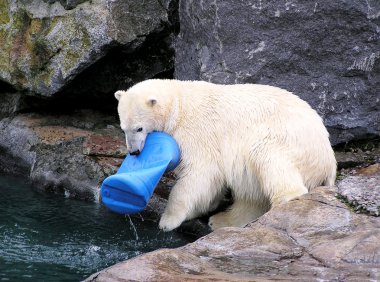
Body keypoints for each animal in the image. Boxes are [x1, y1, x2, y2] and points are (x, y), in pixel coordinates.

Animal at [115, 79, 336, 231]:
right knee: (252, 194)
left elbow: (199, 173)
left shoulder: (198, 133)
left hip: (287, 138)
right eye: (123, 128)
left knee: (267, 157)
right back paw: (221, 220)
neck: (179, 105)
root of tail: (330, 160)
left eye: (139, 128)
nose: (133, 151)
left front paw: (168, 221)